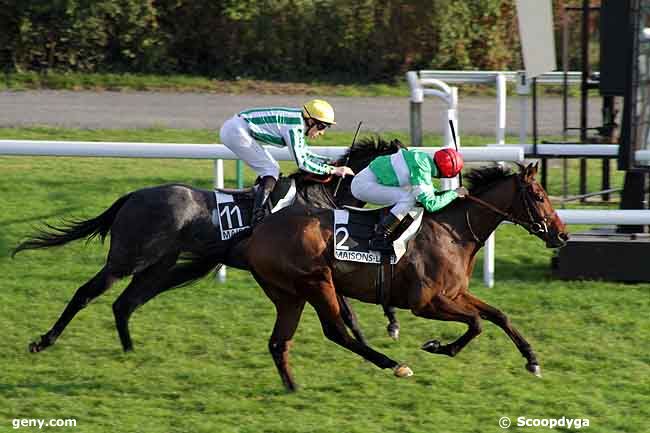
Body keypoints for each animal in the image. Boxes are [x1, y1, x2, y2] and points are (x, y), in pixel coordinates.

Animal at [12, 137, 402, 352]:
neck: (319, 199)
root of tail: (132, 197)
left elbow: (357, 303)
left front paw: (384, 333)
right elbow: (347, 309)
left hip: (159, 264)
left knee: (125, 304)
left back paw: (130, 351)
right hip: (127, 258)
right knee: (86, 294)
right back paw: (44, 341)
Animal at [238, 163, 568, 392]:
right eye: (538, 196)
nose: (562, 235)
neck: (454, 232)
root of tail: (259, 230)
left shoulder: (455, 294)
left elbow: (499, 315)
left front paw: (532, 360)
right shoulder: (425, 303)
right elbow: (476, 323)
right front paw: (438, 346)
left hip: (289, 295)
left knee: (279, 342)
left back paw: (292, 386)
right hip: (317, 284)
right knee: (336, 332)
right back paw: (394, 365)